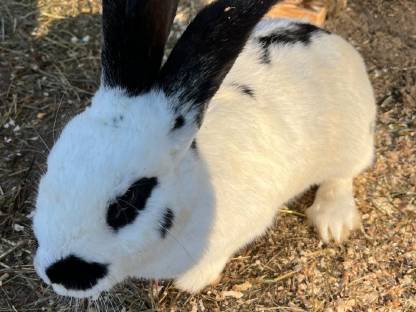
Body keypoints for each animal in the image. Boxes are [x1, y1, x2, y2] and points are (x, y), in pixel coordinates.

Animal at [33, 0, 376, 298]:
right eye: (50, 168)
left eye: (128, 202)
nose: (56, 274)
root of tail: (330, 39)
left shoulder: (248, 222)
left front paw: (192, 282)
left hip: (352, 142)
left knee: (342, 177)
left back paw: (333, 222)